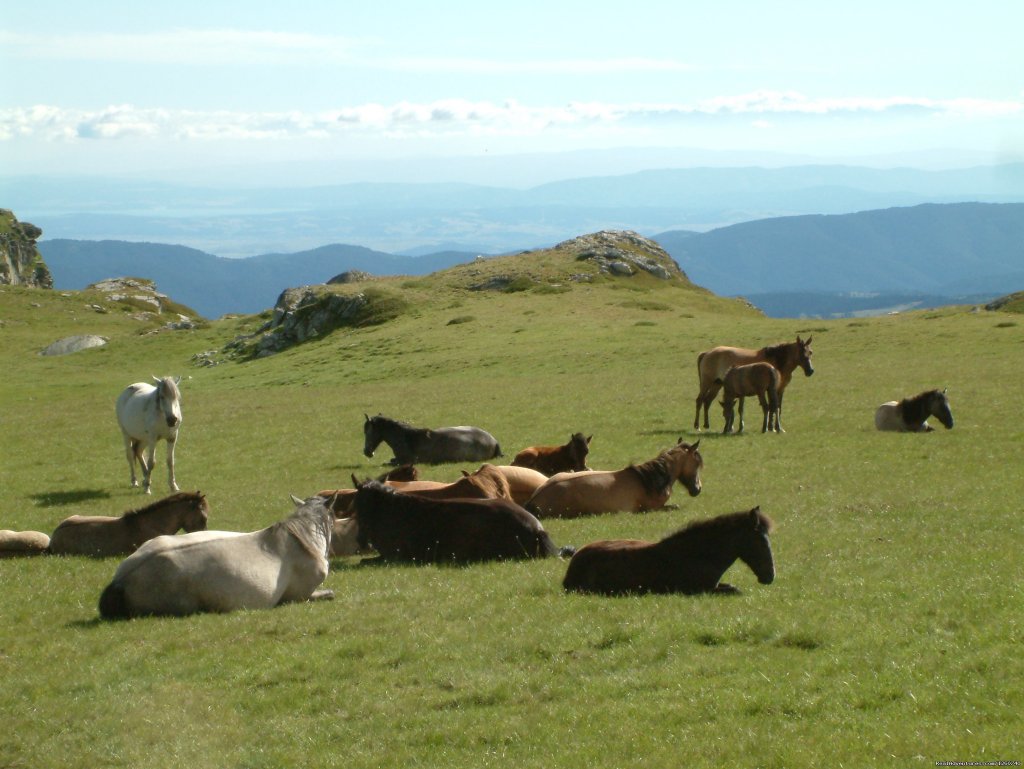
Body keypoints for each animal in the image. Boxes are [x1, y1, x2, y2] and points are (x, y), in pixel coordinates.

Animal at [524, 442, 700, 520]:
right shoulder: (650, 509)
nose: (697, 489)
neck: (646, 479)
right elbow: (674, 507)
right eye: (697, 463)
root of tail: (534, 499)